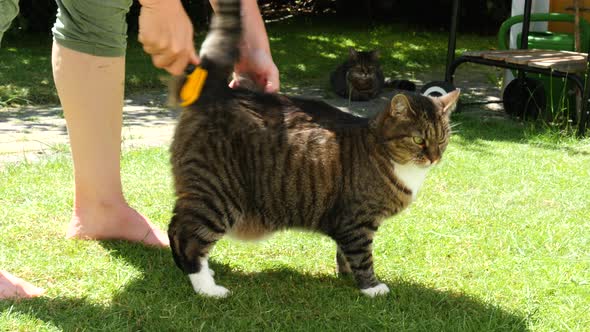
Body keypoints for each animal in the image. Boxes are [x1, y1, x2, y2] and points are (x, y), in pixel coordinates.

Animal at [169, 0, 460, 298]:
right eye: (418, 140)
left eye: (442, 140)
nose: (435, 157)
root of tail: (218, 92)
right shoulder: (357, 221)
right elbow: (362, 255)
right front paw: (371, 287)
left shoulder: (348, 223)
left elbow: (344, 253)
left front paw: (345, 275)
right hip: (218, 192)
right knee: (186, 234)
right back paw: (206, 286)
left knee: (177, 224)